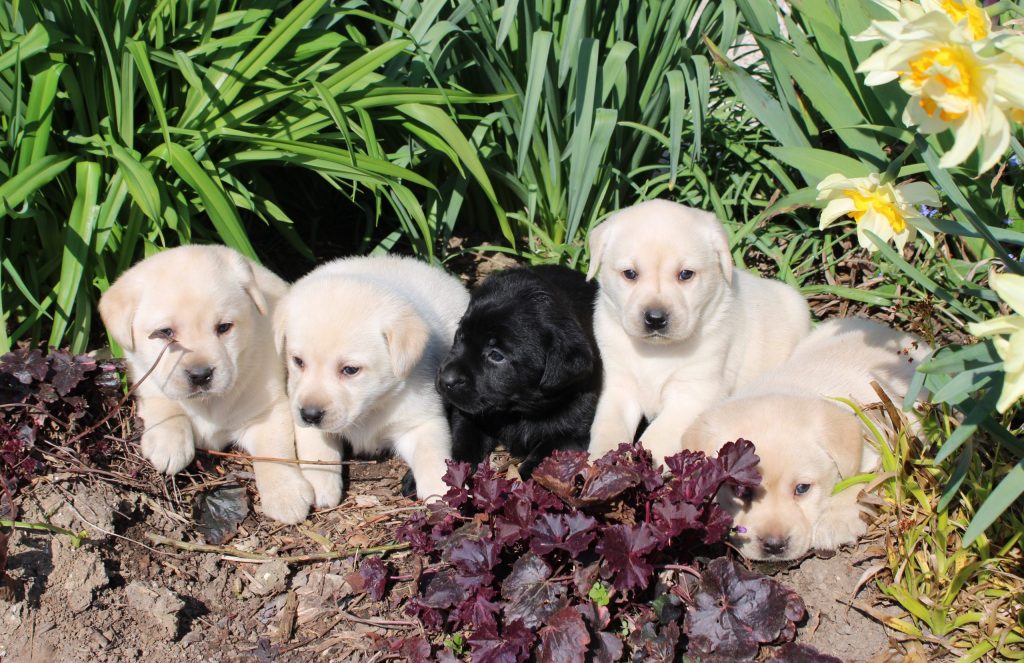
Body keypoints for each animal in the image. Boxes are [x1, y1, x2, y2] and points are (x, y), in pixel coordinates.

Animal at [98, 245, 315, 524]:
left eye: (224, 327)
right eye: (165, 333)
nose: (201, 375)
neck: (208, 403)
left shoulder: (268, 410)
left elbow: (274, 451)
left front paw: (284, 493)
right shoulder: (146, 379)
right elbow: (164, 402)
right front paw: (168, 443)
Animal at [274, 255, 469, 504]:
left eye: (350, 370)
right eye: (298, 361)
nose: (310, 415)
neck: (370, 409)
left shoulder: (421, 420)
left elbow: (431, 453)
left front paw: (442, 487)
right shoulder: (299, 405)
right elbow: (317, 449)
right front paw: (320, 485)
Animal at [436, 265, 601, 479]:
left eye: (496, 355)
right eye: (459, 335)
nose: (445, 379)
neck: (519, 411)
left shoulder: (578, 430)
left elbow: (543, 461)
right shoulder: (468, 415)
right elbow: (462, 441)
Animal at [586, 199, 811, 467]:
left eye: (686, 274)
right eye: (630, 274)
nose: (655, 318)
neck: (655, 351)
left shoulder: (694, 394)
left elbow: (656, 437)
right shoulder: (619, 386)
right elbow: (608, 428)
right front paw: (601, 463)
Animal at [682, 317, 931, 561]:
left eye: (802, 488)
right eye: (740, 491)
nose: (774, 546)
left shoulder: (882, 447)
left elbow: (865, 482)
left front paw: (834, 520)